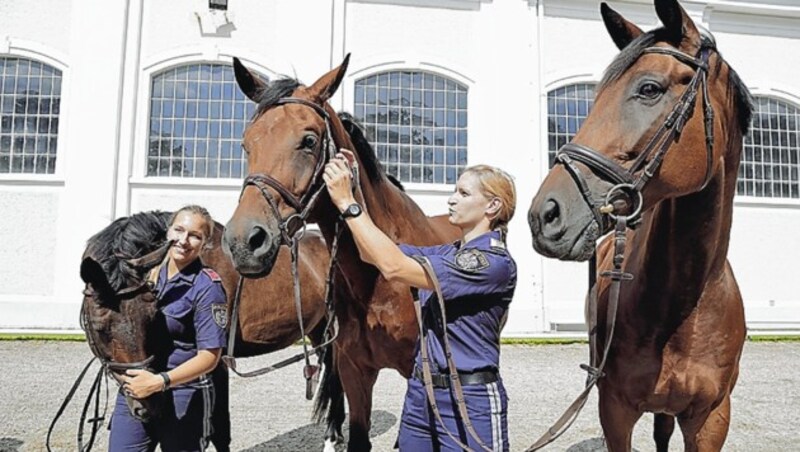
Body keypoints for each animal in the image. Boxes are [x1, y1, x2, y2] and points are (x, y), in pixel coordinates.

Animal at [78, 211, 344, 448]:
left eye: (152, 318)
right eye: (100, 328)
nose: (148, 405)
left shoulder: (218, 361)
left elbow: (220, 431)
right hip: (318, 328)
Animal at [223, 56, 462, 448]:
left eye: (309, 140)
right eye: (246, 144)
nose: (245, 242)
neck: (378, 280)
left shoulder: (419, 374)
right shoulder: (355, 372)